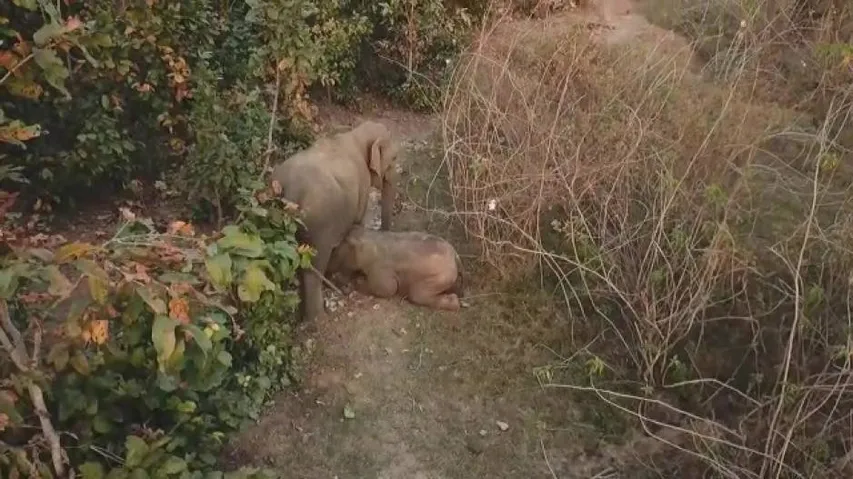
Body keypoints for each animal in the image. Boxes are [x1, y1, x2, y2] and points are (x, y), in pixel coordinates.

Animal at [270, 121, 399, 322]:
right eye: (394, 158)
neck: (356, 134)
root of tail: (291, 193)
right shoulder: (362, 184)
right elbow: (358, 222)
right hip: (318, 223)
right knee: (312, 267)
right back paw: (318, 319)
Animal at [327, 225, 465, 311]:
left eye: (335, 251)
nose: (329, 273)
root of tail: (456, 257)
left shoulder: (380, 268)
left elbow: (388, 289)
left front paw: (353, 284)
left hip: (441, 277)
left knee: (417, 295)